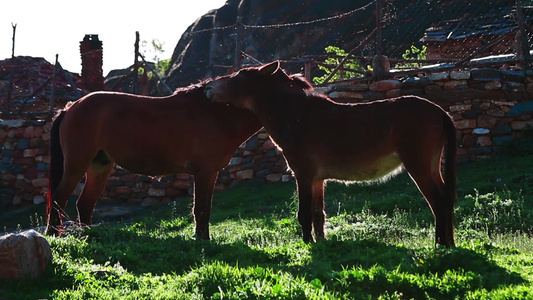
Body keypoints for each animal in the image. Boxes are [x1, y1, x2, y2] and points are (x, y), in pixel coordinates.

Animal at [45, 82, 262, 239]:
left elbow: (205, 208)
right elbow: (200, 209)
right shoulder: (203, 172)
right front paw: (202, 240)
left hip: (99, 166)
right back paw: (53, 234)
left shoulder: (211, 173)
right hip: (76, 165)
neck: (218, 115)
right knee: (59, 197)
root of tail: (70, 108)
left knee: (85, 203)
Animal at [206, 60, 456, 246]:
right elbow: (319, 214)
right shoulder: (317, 179)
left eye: (240, 75)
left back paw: (440, 245)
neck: (296, 115)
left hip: (418, 165)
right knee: (446, 198)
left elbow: (304, 213)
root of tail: (439, 110)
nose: (208, 87)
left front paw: (307, 245)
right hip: (431, 165)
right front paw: (321, 244)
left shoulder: (304, 174)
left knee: (438, 202)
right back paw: (449, 244)